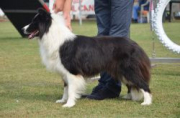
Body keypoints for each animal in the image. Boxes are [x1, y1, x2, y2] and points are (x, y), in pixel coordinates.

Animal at [22, 8, 152, 107]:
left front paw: (69, 104)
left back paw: (147, 102)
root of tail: (136, 45)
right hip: (121, 72)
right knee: (132, 84)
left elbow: (71, 89)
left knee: (143, 84)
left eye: (34, 22)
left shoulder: (72, 71)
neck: (53, 36)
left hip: (129, 69)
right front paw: (62, 100)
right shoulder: (64, 72)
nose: (23, 29)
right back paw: (129, 96)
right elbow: (65, 88)